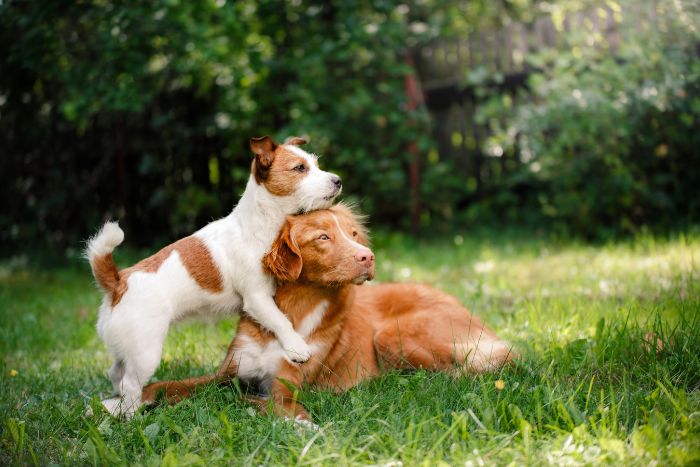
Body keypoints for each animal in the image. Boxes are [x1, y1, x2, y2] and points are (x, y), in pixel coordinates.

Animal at [85, 134, 342, 416]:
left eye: (316, 164)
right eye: (299, 168)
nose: (338, 180)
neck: (259, 224)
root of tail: (118, 282)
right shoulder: (257, 298)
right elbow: (280, 320)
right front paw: (297, 347)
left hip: (127, 349)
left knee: (116, 373)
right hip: (146, 353)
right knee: (130, 384)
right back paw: (132, 417)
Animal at [141, 207, 516, 422]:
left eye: (353, 234)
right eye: (323, 237)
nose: (368, 256)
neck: (294, 311)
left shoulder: (286, 387)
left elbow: (258, 401)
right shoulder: (228, 372)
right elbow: (169, 384)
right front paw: (133, 401)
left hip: (392, 335)